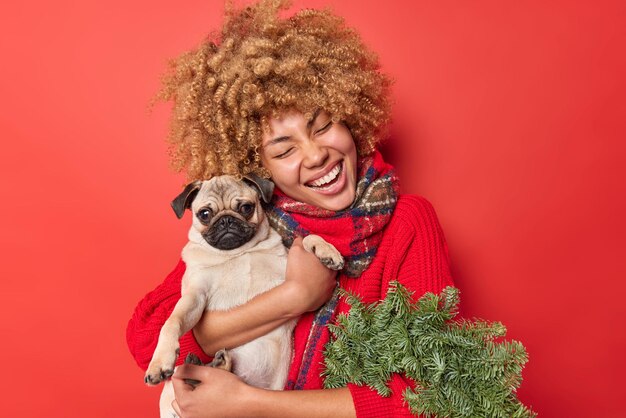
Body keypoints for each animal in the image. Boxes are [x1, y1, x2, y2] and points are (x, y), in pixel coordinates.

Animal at [144, 175, 344, 416]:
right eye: (205, 214)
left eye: (246, 208)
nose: (226, 220)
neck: (238, 253)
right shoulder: (195, 296)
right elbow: (172, 322)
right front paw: (159, 363)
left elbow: (307, 238)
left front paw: (326, 251)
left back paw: (217, 364)